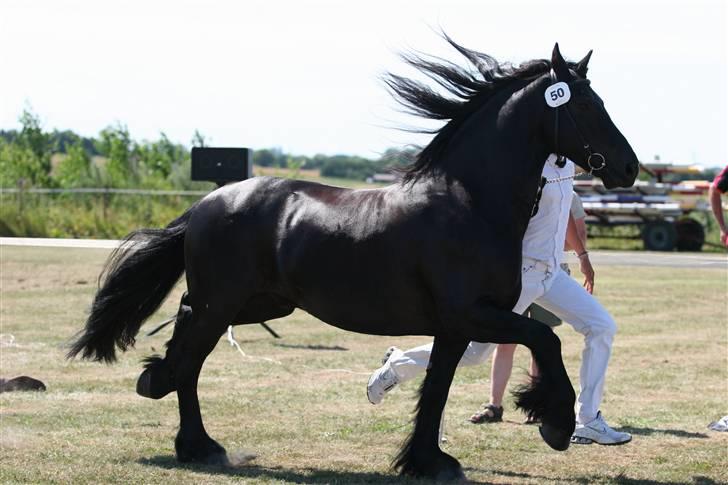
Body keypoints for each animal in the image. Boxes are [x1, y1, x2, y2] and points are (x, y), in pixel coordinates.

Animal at [68, 39, 636, 478]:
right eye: (587, 106)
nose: (629, 168)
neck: (470, 202)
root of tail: (210, 201)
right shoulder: (473, 314)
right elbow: (545, 338)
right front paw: (555, 423)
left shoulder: (456, 326)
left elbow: (437, 389)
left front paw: (427, 461)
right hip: (223, 303)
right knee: (189, 357)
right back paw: (194, 438)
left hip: (263, 303)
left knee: (185, 335)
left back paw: (169, 402)